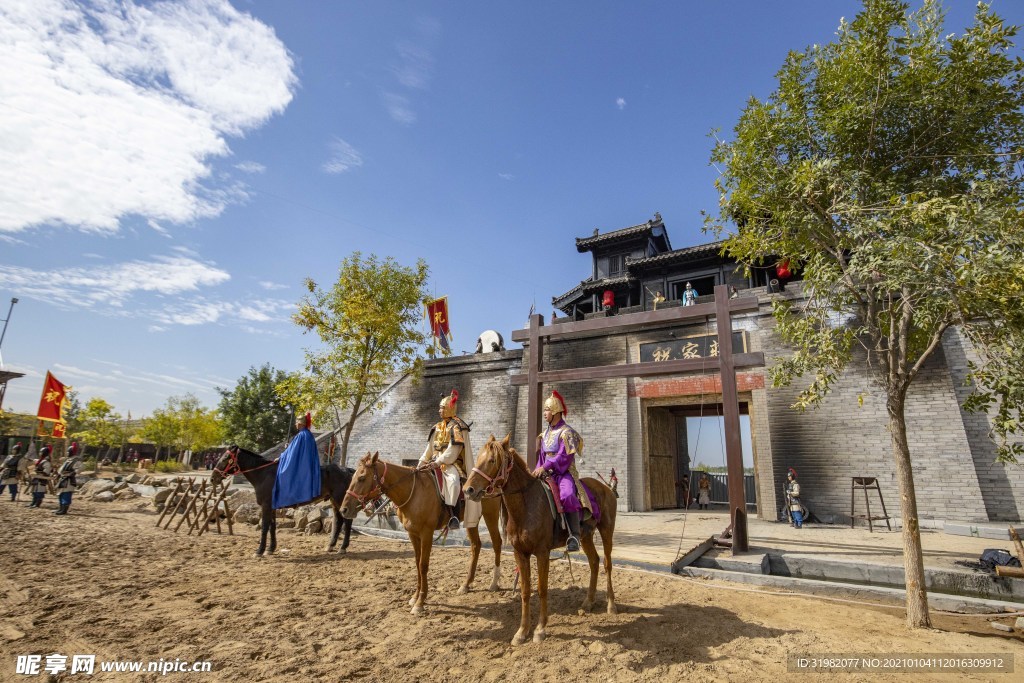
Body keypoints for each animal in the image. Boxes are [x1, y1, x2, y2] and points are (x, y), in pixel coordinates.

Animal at [339, 450, 503, 618]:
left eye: (362, 478)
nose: (343, 509)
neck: (413, 492)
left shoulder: (426, 534)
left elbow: (423, 565)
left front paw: (420, 602)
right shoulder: (413, 534)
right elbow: (417, 564)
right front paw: (415, 597)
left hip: (490, 515)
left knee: (497, 542)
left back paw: (494, 583)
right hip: (472, 520)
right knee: (476, 546)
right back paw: (466, 584)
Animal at [464, 436, 614, 651]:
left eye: (492, 460)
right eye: (478, 458)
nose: (468, 490)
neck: (526, 506)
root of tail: (606, 488)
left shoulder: (542, 553)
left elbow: (542, 590)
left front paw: (540, 629)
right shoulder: (520, 553)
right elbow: (526, 591)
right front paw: (522, 632)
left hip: (606, 530)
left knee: (607, 565)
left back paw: (611, 605)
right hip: (586, 536)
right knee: (594, 562)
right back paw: (588, 602)